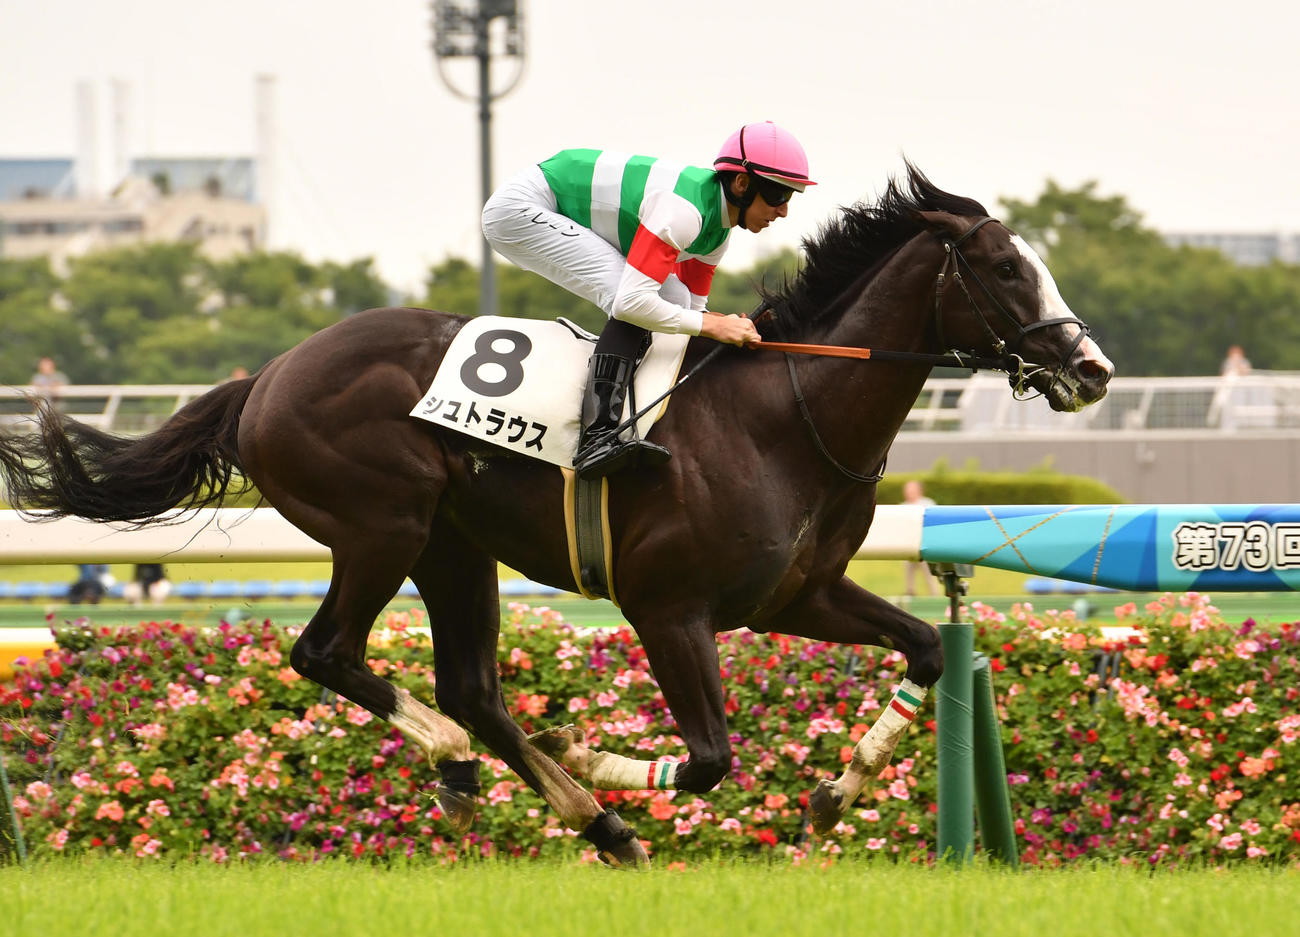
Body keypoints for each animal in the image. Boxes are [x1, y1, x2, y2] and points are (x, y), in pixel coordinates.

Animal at [0, 165, 1113, 867]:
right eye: (1007, 270)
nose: (1093, 368)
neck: (782, 416)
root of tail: (263, 378)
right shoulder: (669, 609)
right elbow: (709, 757)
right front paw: (592, 750)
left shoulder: (798, 594)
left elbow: (923, 647)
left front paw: (834, 795)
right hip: (381, 526)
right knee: (328, 654)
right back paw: (475, 764)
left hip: (453, 548)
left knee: (473, 686)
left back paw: (592, 822)